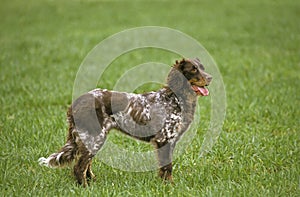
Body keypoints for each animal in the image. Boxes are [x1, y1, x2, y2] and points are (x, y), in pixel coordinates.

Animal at [38, 57, 212, 186]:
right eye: (193, 69)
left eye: (202, 67)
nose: (210, 77)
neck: (175, 99)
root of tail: (76, 103)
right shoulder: (164, 139)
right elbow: (167, 167)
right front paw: (168, 186)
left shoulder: (170, 141)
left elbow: (165, 167)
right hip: (95, 137)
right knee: (79, 167)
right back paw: (86, 187)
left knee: (86, 164)